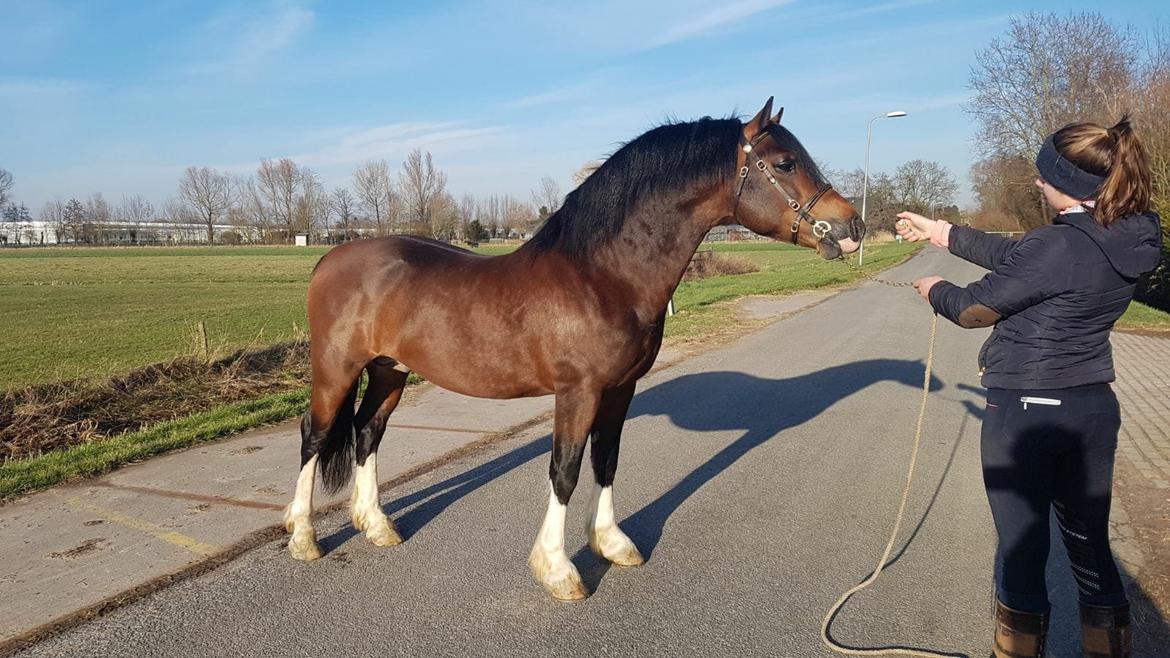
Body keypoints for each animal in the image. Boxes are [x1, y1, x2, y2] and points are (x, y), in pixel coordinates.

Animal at [285, 98, 861, 599]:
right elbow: (564, 469)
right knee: (316, 436)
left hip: (389, 371)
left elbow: (607, 460)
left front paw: (612, 544)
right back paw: (303, 536)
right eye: (785, 162)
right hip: (336, 368)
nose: (851, 226)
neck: (601, 277)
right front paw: (558, 569)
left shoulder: (620, 389)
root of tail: (330, 258)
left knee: (367, 433)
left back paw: (377, 526)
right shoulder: (577, 391)